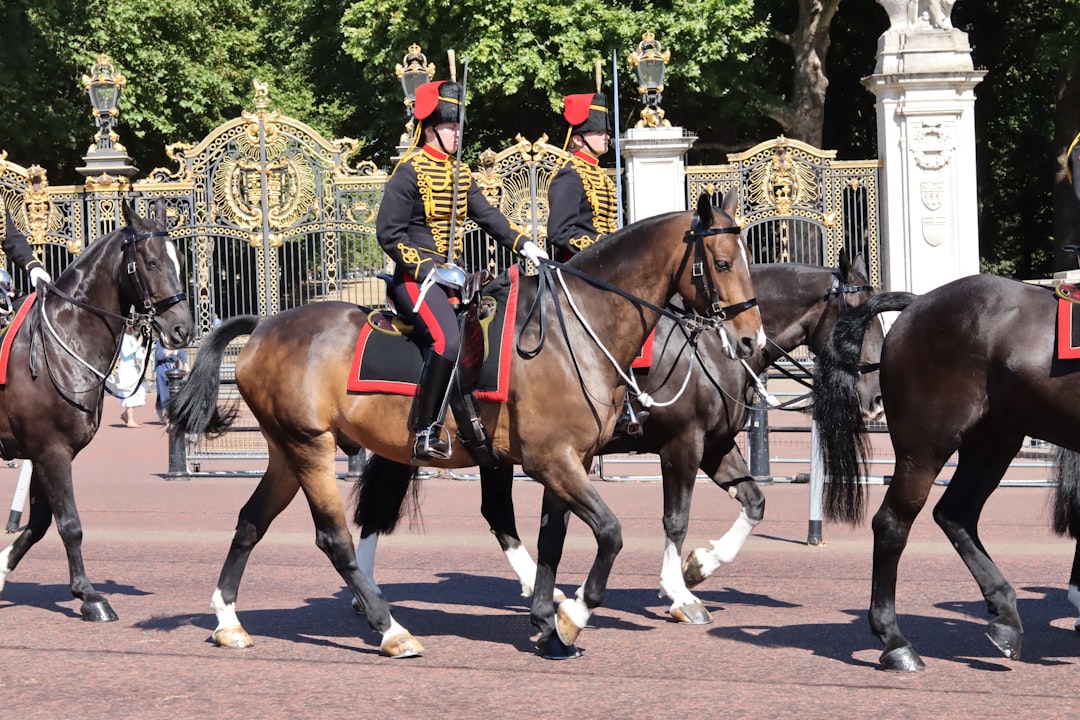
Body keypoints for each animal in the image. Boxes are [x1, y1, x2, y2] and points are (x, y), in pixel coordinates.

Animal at [0, 200, 193, 622]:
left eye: (180, 260)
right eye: (151, 262)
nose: (182, 330)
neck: (63, 341)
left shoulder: (44, 453)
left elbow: (41, 523)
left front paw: (1, 569)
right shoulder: (52, 451)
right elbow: (70, 523)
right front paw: (89, 596)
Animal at [169, 192, 764, 659]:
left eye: (746, 259)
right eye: (722, 261)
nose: (750, 340)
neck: (578, 329)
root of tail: (266, 324)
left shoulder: (570, 461)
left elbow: (554, 540)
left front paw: (550, 623)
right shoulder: (573, 458)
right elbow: (617, 532)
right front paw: (577, 614)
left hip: (288, 452)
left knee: (252, 522)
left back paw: (229, 620)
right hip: (311, 449)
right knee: (334, 537)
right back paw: (390, 628)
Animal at [352, 253, 885, 625]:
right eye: (860, 322)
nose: (877, 400)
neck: (712, 348)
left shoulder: (715, 447)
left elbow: (755, 503)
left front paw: (700, 565)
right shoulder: (683, 445)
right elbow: (676, 519)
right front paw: (679, 591)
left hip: (483, 451)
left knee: (484, 513)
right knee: (398, 507)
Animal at [812, 274, 1080, 672]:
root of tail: (919, 302)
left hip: (991, 443)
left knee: (956, 514)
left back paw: (1005, 616)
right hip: (925, 448)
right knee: (893, 523)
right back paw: (895, 642)